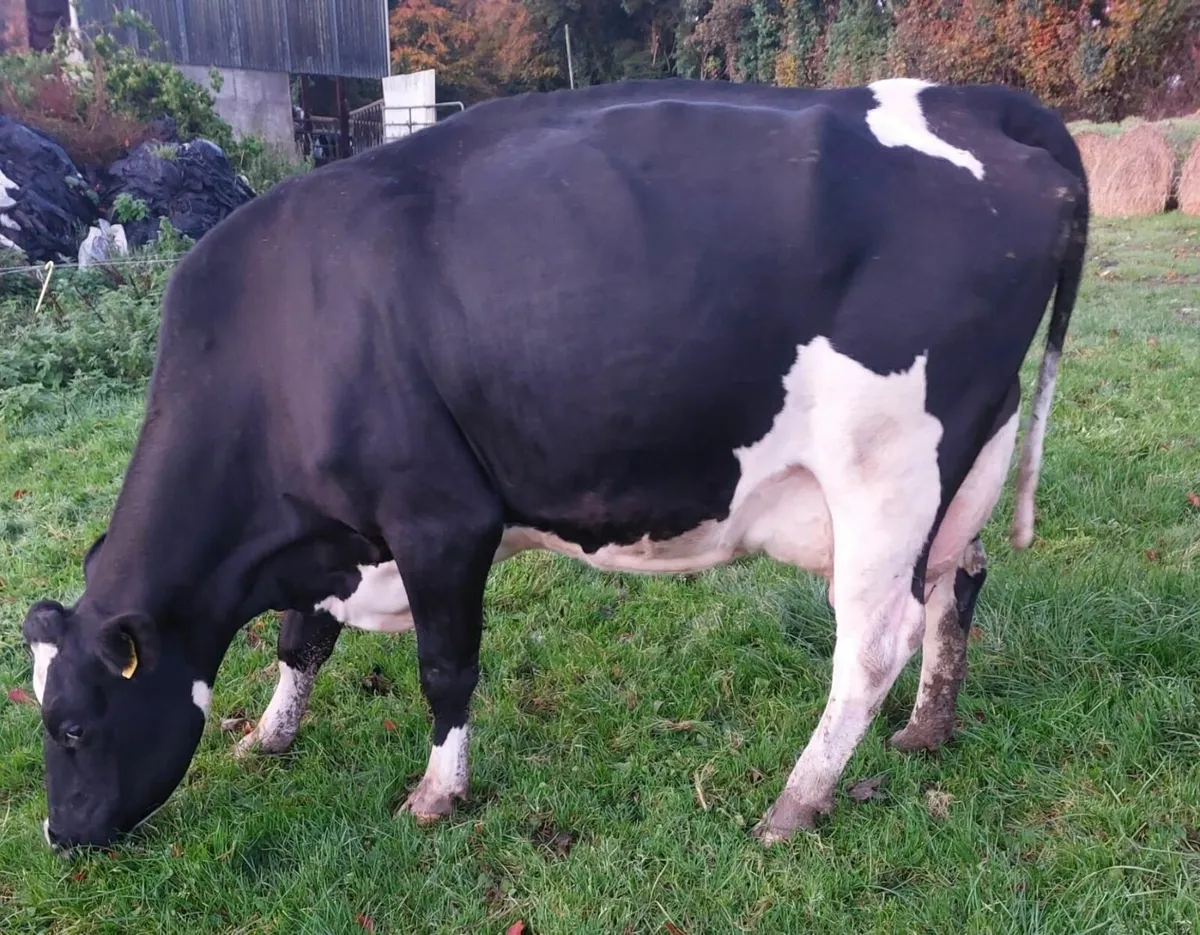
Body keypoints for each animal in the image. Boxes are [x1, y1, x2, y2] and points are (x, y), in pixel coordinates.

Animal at [22, 76, 1088, 852]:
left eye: (71, 726)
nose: (60, 834)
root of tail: (973, 101)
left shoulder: (440, 519)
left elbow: (445, 668)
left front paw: (436, 793)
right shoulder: (329, 528)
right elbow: (301, 638)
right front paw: (268, 736)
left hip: (885, 468)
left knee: (873, 641)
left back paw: (795, 802)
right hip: (967, 459)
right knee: (960, 578)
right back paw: (926, 728)